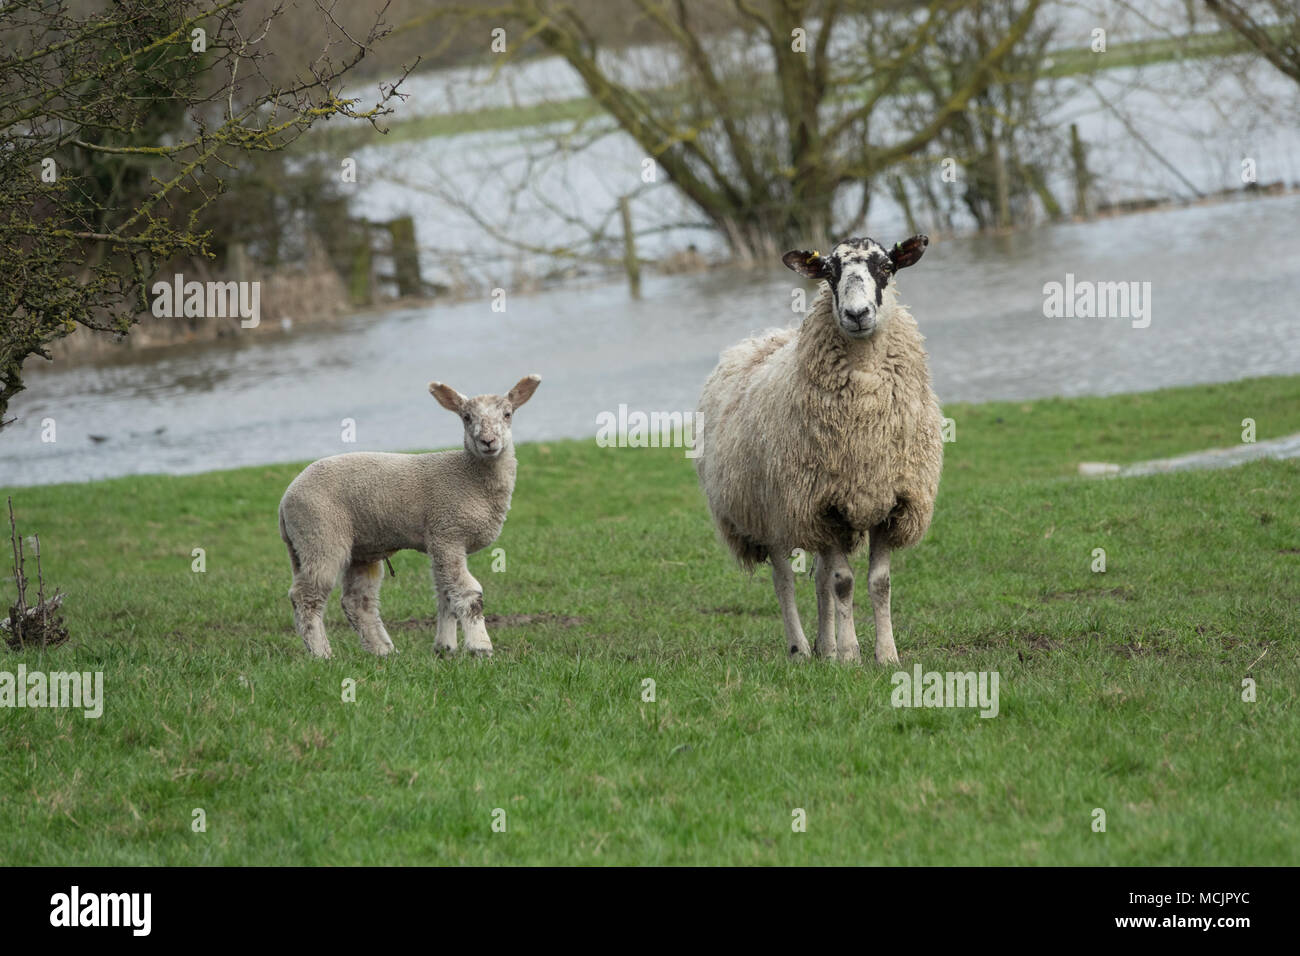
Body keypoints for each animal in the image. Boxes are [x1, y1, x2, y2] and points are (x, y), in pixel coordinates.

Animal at [277, 375, 541, 659]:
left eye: (507, 414)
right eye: (467, 417)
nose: (488, 441)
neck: (469, 477)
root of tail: (284, 501)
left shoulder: (439, 540)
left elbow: (446, 595)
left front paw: (445, 648)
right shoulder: (447, 532)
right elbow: (468, 593)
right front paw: (480, 648)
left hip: (359, 547)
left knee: (357, 601)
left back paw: (383, 651)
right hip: (320, 533)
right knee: (306, 597)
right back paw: (322, 655)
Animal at [695, 235, 942, 664]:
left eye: (887, 267)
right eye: (829, 272)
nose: (857, 314)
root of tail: (759, 338)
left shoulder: (888, 501)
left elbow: (878, 583)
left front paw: (885, 655)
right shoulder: (817, 505)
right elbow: (843, 582)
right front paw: (851, 655)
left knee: (820, 579)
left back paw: (825, 647)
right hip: (773, 512)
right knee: (784, 581)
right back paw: (801, 649)